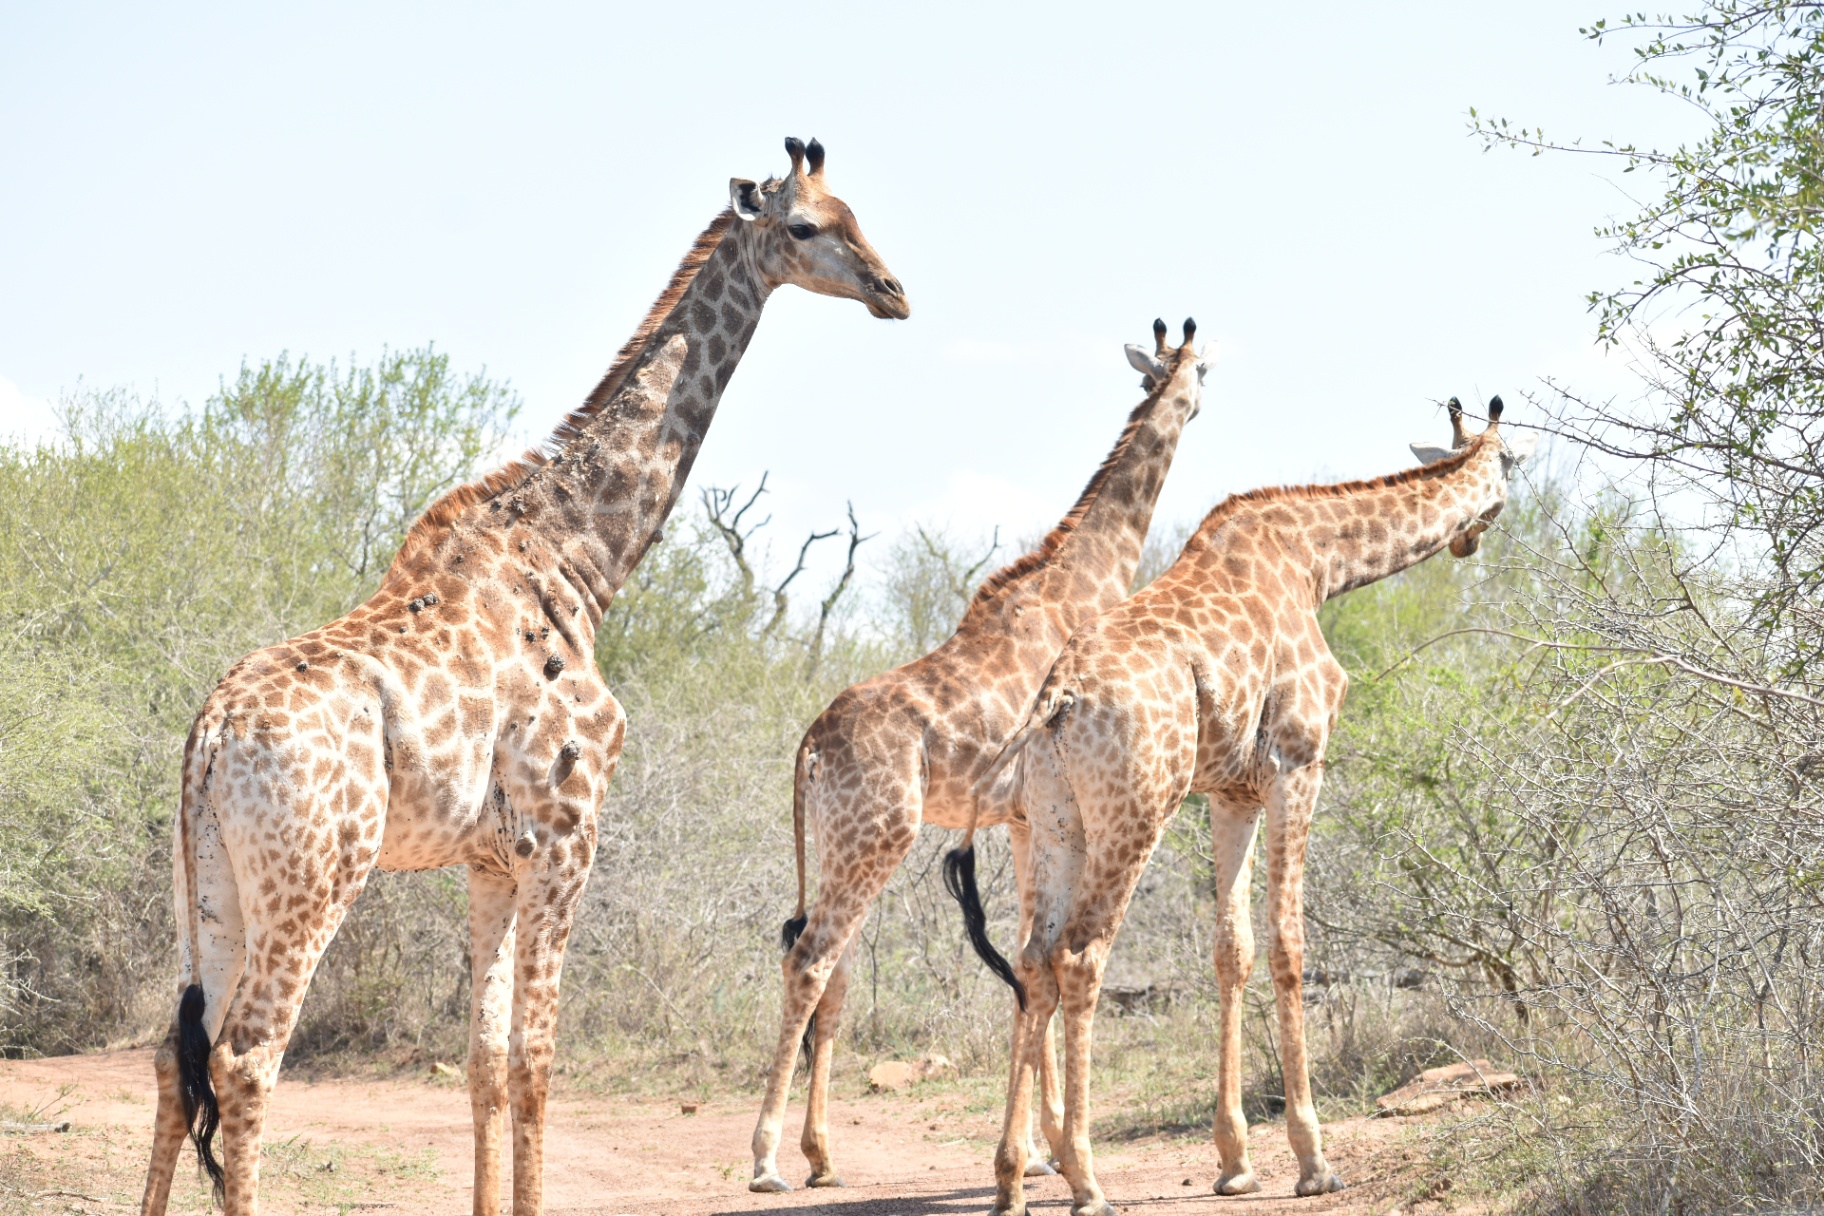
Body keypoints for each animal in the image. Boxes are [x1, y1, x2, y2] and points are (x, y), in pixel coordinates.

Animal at [137, 137, 907, 1216]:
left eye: (856, 213)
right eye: (806, 226)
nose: (894, 291)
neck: (583, 562)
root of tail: (208, 735)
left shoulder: (491, 861)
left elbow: (483, 1062)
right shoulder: (568, 837)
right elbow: (538, 1059)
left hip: (205, 880)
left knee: (179, 1056)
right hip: (314, 876)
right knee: (246, 1060)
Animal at [749, 321, 1210, 1193]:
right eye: (1205, 372)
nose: (1198, 401)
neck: (1086, 579)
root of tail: (808, 744)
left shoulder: (1025, 820)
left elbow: (1033, 960)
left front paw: (1041, 1147)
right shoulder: (1038, 812)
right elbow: (1041, 962)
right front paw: (1053, 1150)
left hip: (836, 840)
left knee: (829, 966)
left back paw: (822, 1156)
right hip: (879, 835)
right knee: (811, 961)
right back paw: (763, 1159)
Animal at [950, 398, 1536, 1216]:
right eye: (1511, 468)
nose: (1470, 537)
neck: (1316, 564)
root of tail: (1056, 699)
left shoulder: (1230, 792)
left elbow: (1233, 951)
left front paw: (1234, 1161)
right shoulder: (1299, 762)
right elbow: (1289, 946)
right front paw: (1313, 1159)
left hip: (1060, 821)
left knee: (1034, 960)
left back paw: (1010, 1178)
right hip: (1135, 814)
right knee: (1081, 956)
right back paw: (1086, 1180)